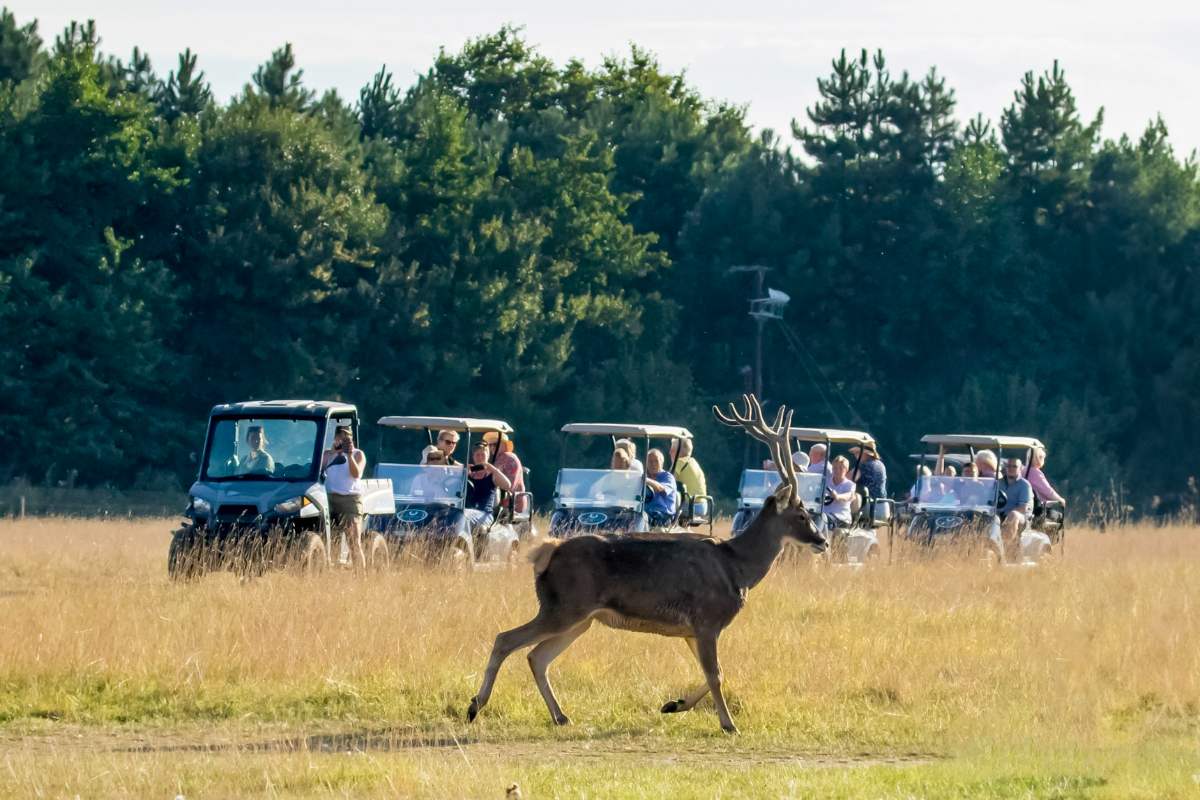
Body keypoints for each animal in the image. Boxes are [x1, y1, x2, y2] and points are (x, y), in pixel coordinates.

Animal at [463, 393, 830, 734]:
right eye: (802, 514)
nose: (822, 541)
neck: (738, 569)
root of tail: (544, 554)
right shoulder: (707, 619)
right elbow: (716, 674)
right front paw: (728, 724)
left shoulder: (692, 630)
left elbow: (717, 673)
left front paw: (673, 705)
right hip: (564, 606)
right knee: (506, 639)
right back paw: (475, 706)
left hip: (581, 617)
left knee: (536, 656)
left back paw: (561, 715)